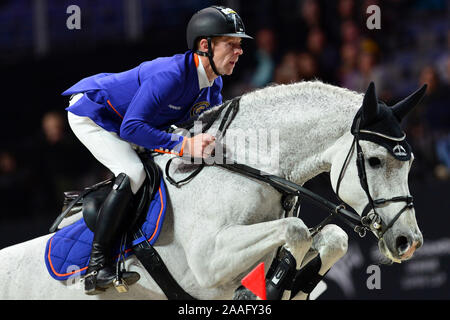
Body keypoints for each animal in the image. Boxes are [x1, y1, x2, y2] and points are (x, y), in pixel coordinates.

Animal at [0, 80, 422, 300]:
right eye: (375, 161)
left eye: (410, 163)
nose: (408, 241)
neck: (250, 168)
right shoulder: (207, 261)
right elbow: (297, 231)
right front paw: (265, 290)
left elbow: (331, 236)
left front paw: (290, 286)